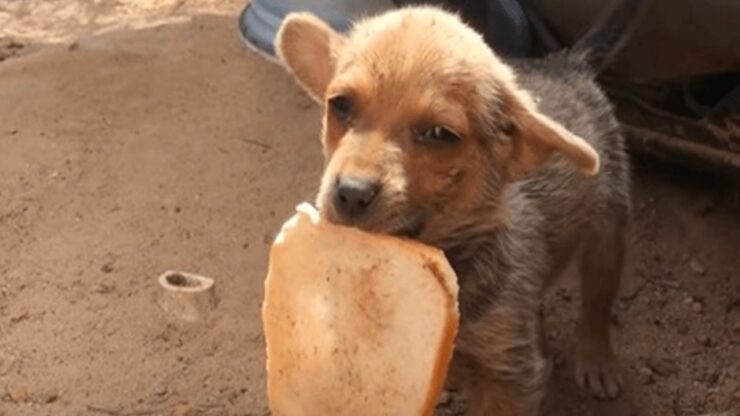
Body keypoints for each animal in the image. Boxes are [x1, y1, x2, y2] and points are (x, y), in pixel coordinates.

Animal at [274, 6, 632, 416]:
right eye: (341, 105)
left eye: (439, 135)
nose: (351, 193)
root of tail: (568, 62)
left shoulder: (510, 376)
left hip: (609, 229)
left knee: (598, 300)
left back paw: (596, 358)